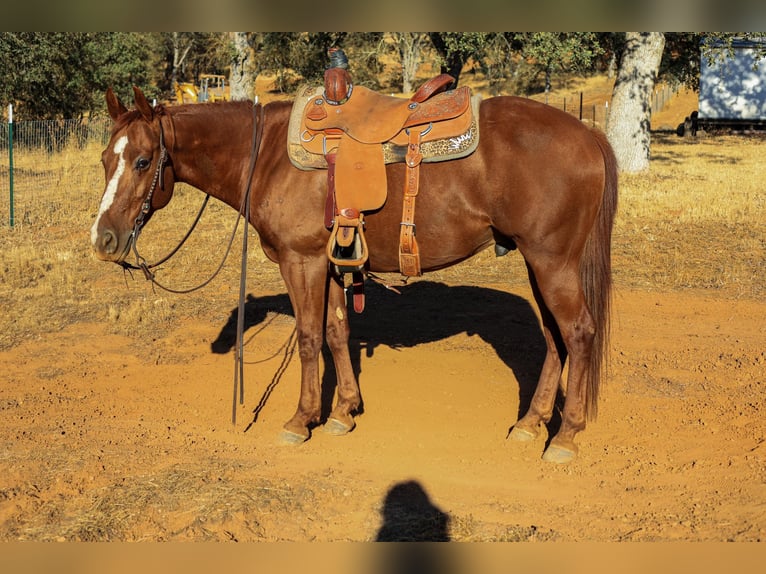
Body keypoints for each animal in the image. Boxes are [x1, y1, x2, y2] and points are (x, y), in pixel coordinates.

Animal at [91, 86, 618, 463]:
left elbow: (308, 337)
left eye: (142, 161)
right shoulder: (328, 264)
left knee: (578, 333)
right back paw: (530, 424)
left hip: (552, 262)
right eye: (104, 159)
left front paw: (301, 419)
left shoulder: (301, 260)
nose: (104, 239)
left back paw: (564, 436)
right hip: (538, 263)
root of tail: (587, 134)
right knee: (554, 338)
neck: (267, 157)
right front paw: (343, 411)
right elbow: (336, 332)